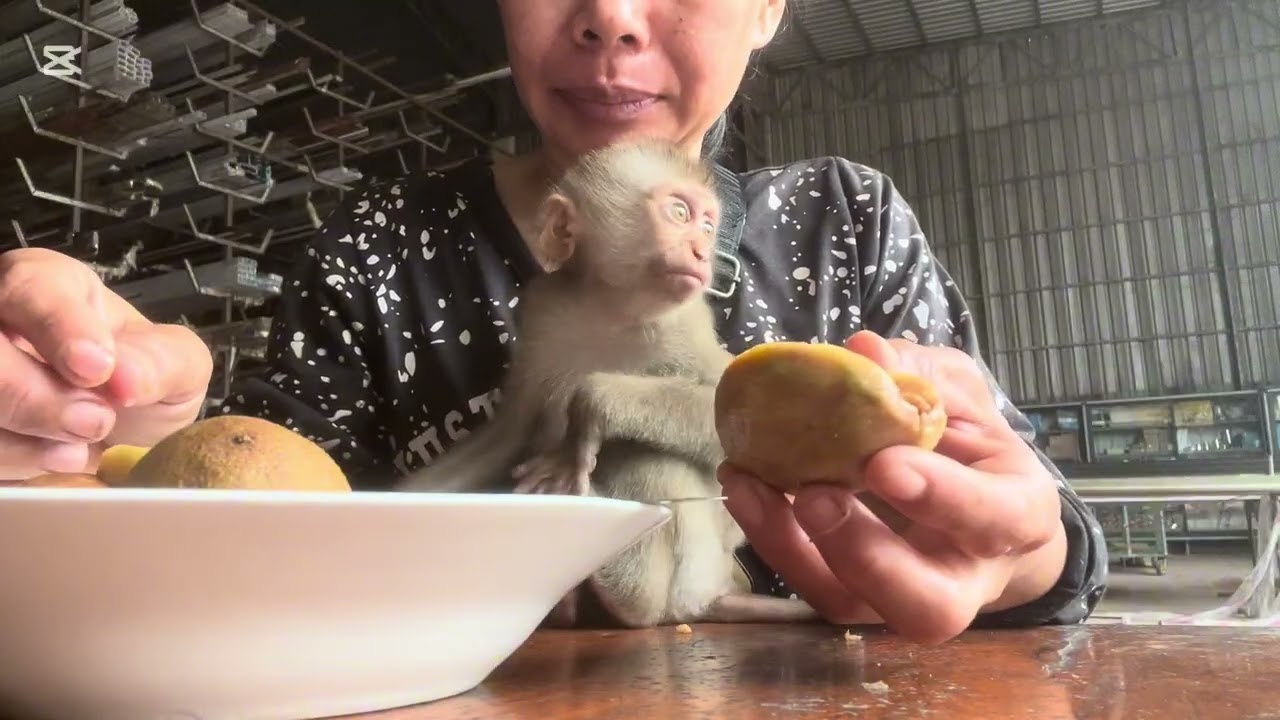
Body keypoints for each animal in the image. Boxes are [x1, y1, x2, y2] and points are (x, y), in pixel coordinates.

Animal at [398, 137, 817, 628]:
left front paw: (595, 400)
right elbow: (512, 433)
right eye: (679, 213)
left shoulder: (685, 325)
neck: (613, 310)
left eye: (708, 226)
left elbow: (746, 425)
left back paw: (630, 595)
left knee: (652, 458)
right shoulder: (545, 315)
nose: (701, 252)